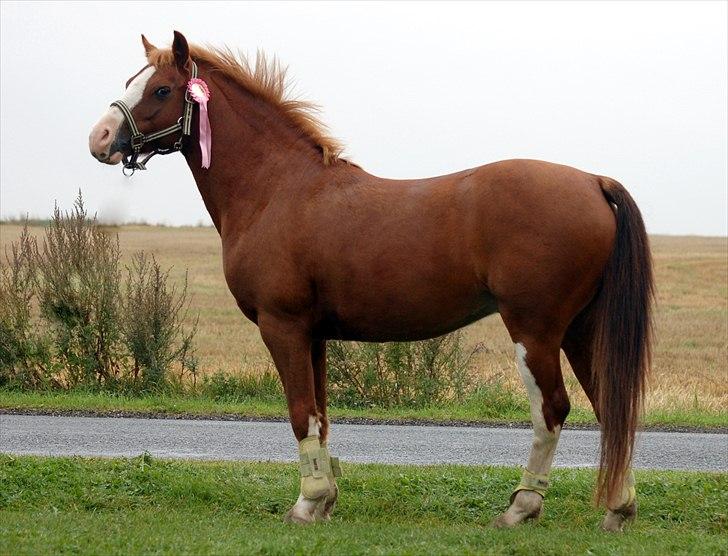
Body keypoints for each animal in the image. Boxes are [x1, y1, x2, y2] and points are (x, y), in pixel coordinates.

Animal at [89, 31, 654, 531]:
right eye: (132, 80)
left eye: (162, 90)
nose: (99, 139)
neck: (277, 189)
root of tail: (592, 181)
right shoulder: (312, 335)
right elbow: (320, 415)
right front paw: (324, 501)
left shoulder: (282, 326)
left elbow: (300, 413)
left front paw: (305, 505)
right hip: (580, 330)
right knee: (610, 407)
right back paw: (617, 509)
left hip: (535, 330)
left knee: (553, 410)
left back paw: (520, 508)